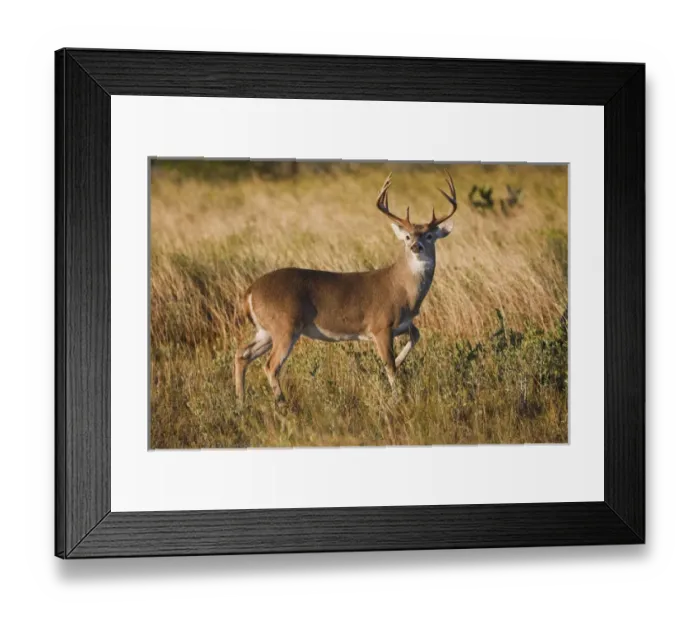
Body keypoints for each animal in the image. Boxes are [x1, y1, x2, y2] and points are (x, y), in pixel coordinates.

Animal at [234, 171, 458, 403]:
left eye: (429, 236)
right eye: (407, 236)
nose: (415, 246)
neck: (404, 290)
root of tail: (249, 292)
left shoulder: (403, 324)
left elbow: (416, 336)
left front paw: (399, 362)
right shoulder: (380, 325)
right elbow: (390, 367)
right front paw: (397, 398)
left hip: (265, 330)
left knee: (242, 354)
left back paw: (241, 401)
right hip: (284, 325)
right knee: (270, 366)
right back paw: (282, 403)